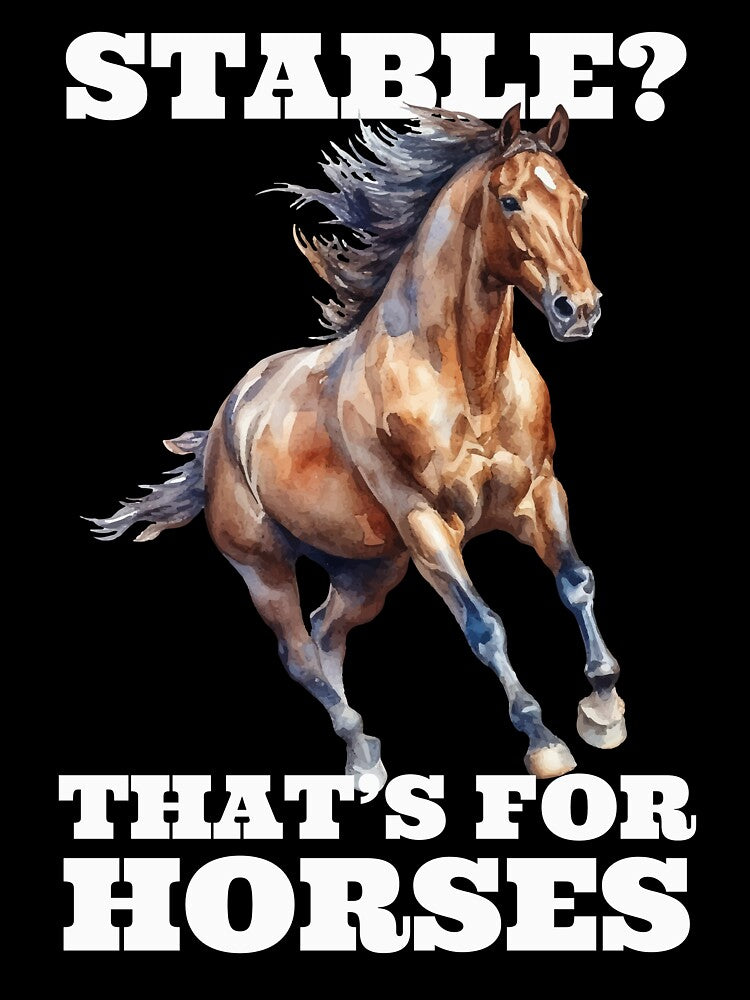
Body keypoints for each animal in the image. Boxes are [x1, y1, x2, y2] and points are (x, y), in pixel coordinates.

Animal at [90, 103, 625, 789]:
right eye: (510, 201)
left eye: (577, 197)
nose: (578, 309)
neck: (464, 379)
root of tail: (226, 421)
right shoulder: (425, 522)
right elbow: (485, 627)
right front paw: (544, 740)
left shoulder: (539, 492)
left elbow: (576, 580)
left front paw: (604, 708)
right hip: (266, 568)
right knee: (298, 651)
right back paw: (363, 757)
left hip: (368, 571)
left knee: (327, 631)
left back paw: (362, 754)